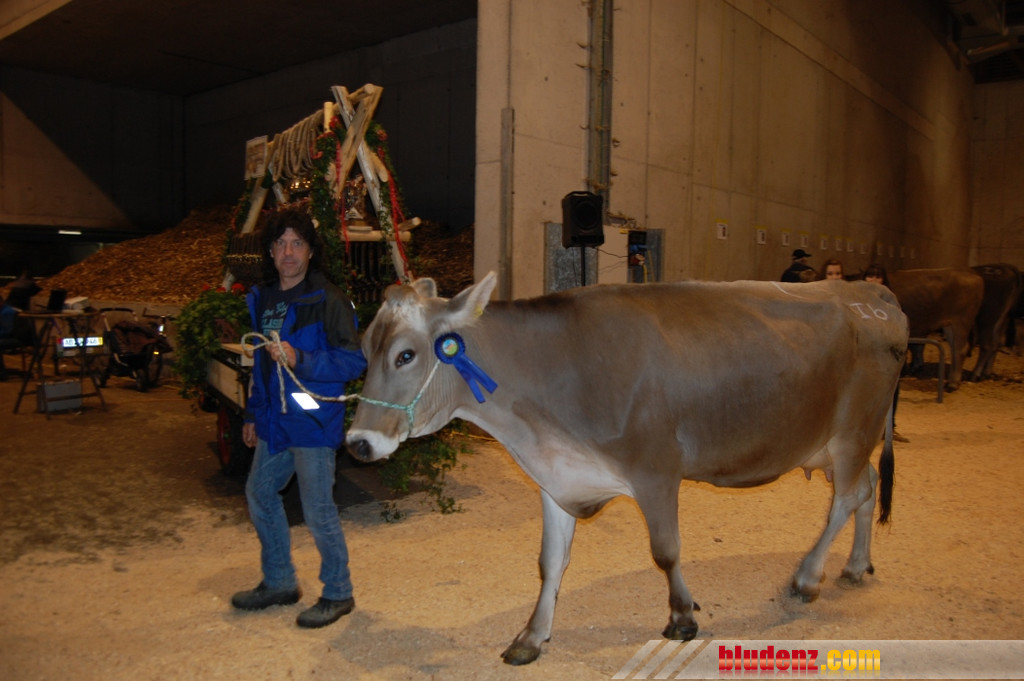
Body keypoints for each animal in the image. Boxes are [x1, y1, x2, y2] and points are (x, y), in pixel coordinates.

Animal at [346, 273, 908, 665]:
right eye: (364, 348)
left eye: (405, 355)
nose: (358, 443)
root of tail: (872, 291)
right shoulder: (558, 475)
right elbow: (550, 563)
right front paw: (531, 636)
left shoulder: (656, 470)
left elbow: (665, 551)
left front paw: (682, 618)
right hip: (831, 445)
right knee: (865, 489)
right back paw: (856, 565)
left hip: (854, 430)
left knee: (845, 500)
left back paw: (808, 577)